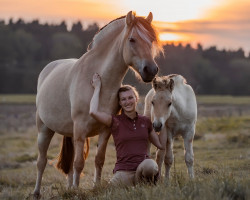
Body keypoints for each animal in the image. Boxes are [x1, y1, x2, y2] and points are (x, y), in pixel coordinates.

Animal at [33, 10, 161, 197]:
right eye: (132, 39)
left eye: (151, 40)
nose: (150, 70)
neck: (99, 83)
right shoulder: (80, 129)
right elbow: (79, 163)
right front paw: (78, 191)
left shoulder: (105, 129)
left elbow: (98, 160)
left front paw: (95, 187)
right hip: (45, 129)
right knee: (41, 161)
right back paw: (37, 192)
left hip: (70, 133)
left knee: (69, 165)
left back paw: (69, 188)